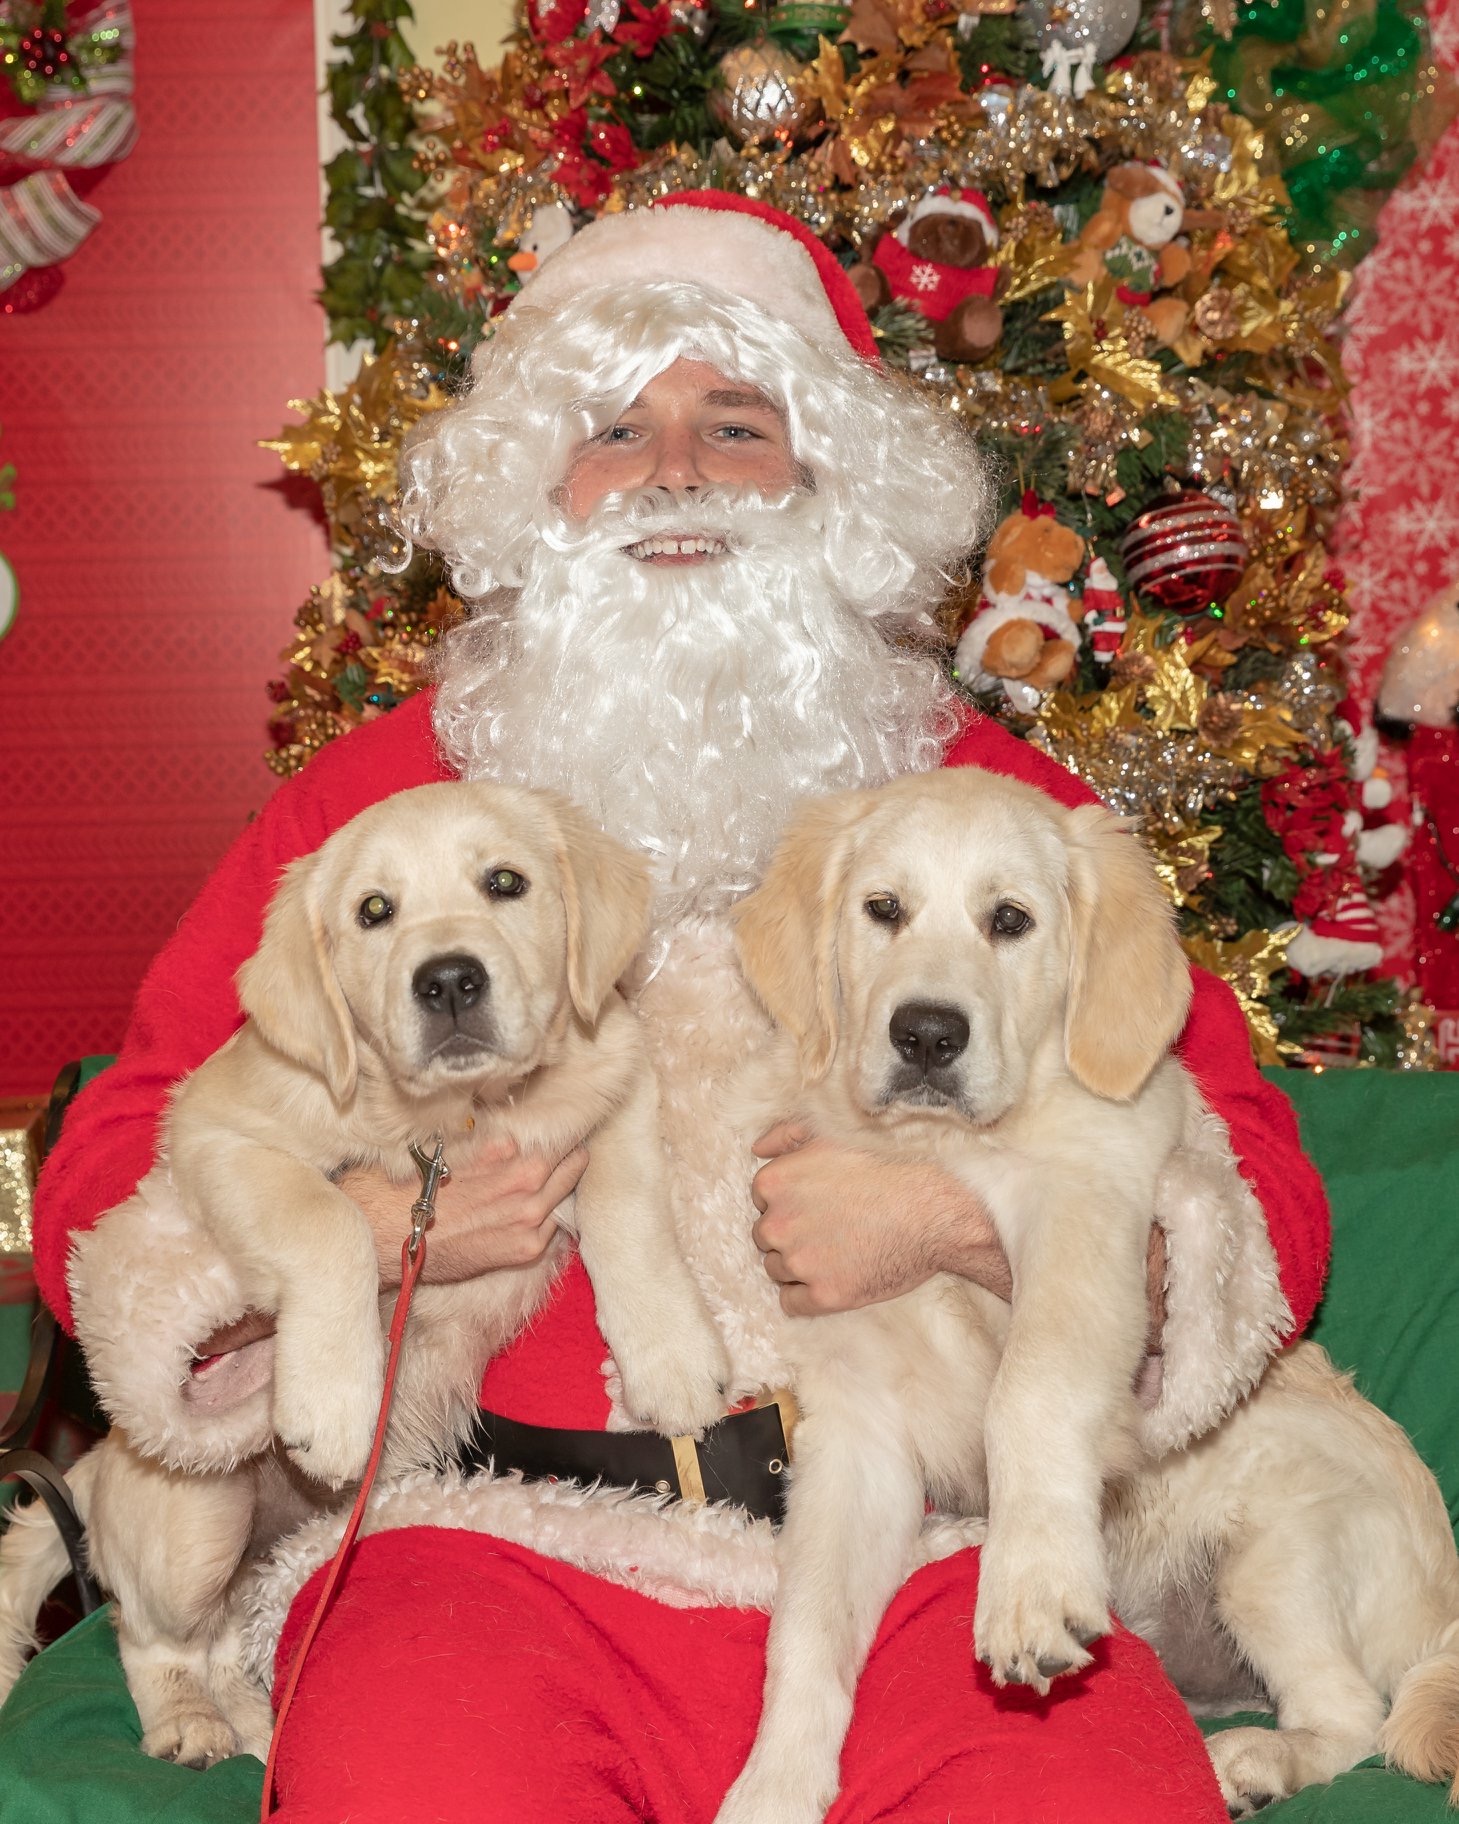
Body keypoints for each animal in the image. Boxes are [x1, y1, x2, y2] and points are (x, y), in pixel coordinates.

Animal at [0, 784, 729, 1765]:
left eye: (505, 882)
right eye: (373, 911)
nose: (450, 980)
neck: (454, 1120)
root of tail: (92, 1466)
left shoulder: (616, 1078)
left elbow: (631, 1207)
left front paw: (671, 1358)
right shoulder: (214, 1139)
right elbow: (330, 1219)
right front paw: (335, 1403)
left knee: (229, 1641)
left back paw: (258, 1727)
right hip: (197, 1514)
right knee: (147, 1635)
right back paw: (192, 1723)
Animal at [711, 769, 1459, 1824]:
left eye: (1010, 920)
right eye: (882, 910)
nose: (927, 1034)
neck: (935, 1153)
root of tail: (1445, 1611)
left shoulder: (1087, 1208)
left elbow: (1029, 1389)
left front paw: (1027, 1582)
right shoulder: (855, 1433)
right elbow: (807, 1626)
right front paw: (773, 1785)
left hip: (1277, 1551)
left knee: (1356, 1718)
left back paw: (1253, 1761)